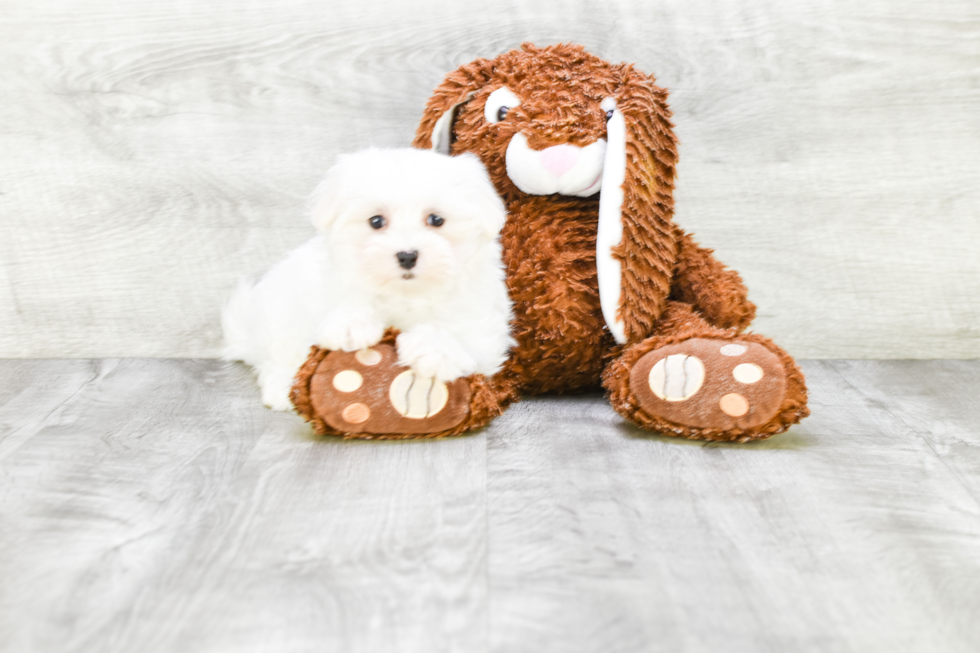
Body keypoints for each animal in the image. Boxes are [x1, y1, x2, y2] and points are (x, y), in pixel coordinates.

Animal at [221, 150, 512, 410]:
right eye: (376, 221)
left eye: (436, 219)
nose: (407, 255)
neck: (407, 293)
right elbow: (343, 303)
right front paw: (352, 324)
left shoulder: (485, 322)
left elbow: (472, 339)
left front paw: (432, 347)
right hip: (279, 312)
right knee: (278, 357)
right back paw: (282, 387)